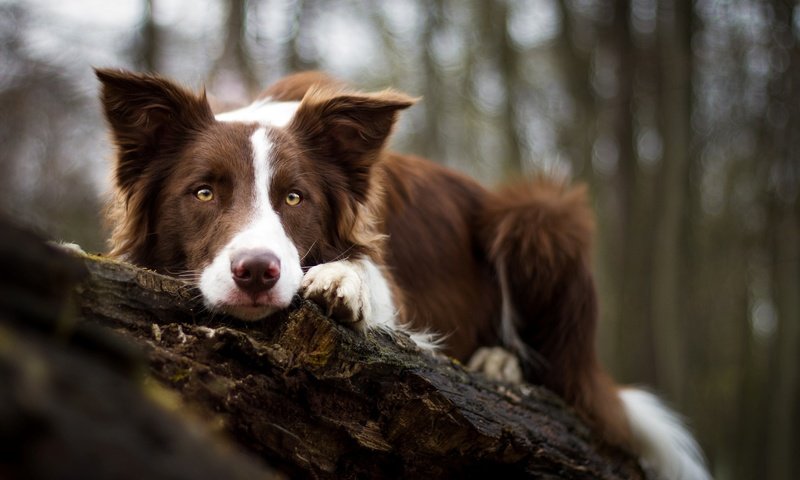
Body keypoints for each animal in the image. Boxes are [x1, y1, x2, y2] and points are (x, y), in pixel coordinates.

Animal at [95, 68, 712, 480]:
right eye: (203, 192)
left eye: (294, 197)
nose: (257, 273)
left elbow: (368, 275)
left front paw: (341, 281)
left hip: (539, 216)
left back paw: (502, 362)